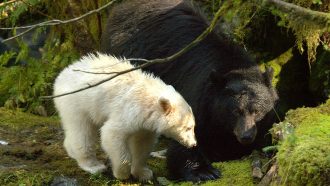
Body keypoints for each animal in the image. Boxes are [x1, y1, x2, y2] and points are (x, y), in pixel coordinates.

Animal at [101, 0, 278, 182]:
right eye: (235, 111)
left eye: (256, 111)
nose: (246, 136)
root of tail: (119, 9)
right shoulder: (198, 95)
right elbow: (189, 134)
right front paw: (203, 171)